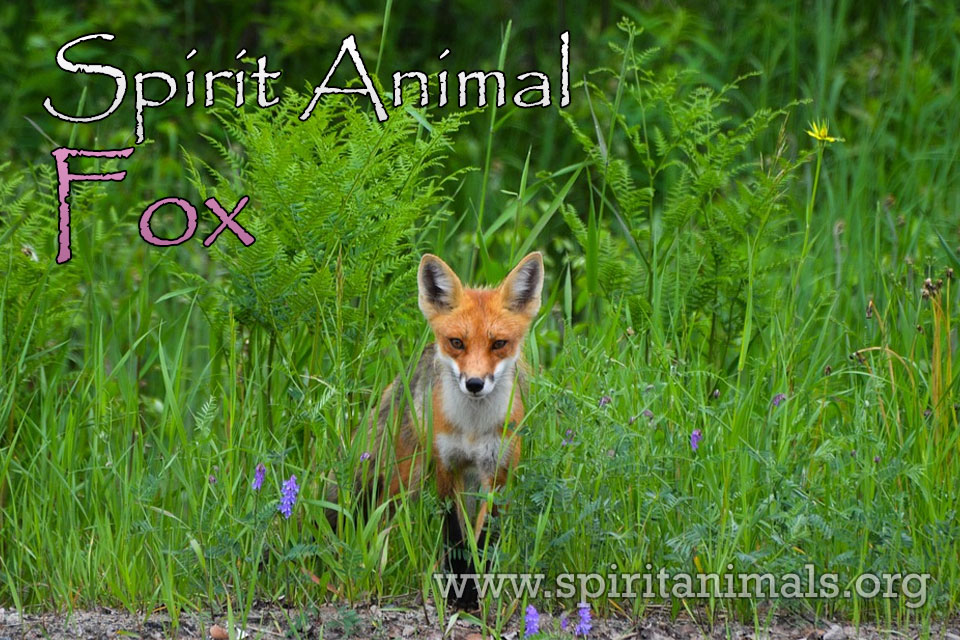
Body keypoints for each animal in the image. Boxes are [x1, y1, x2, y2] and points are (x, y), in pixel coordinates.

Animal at [325, 251, 544, 606]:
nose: (474, 383)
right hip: (404, 478)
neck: (472, 428)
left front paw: (475, 595)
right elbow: (455, 537)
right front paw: (459, 594)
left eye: (499, 344)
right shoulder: (447, 467)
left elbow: (484, 539)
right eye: (457, 342)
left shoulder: (497, 473)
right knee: (379, 521)